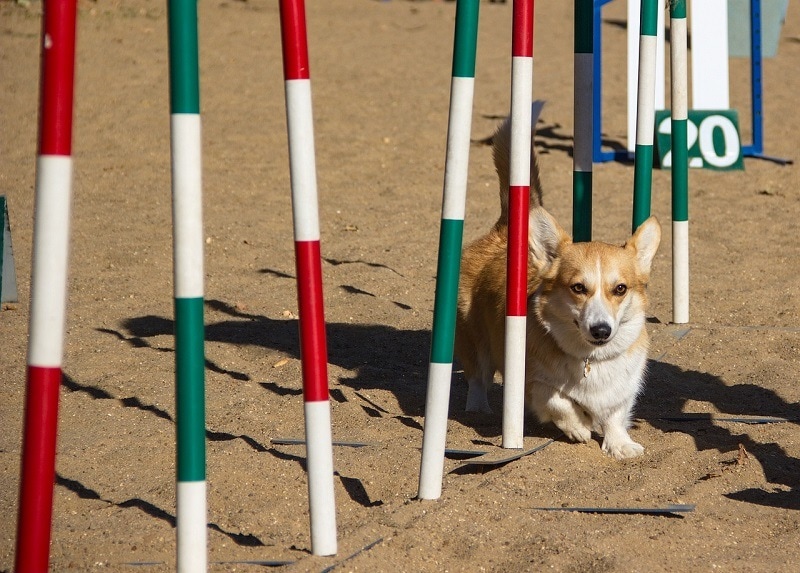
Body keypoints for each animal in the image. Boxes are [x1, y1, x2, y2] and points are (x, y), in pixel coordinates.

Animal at [456, 116, 664, 460]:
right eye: (578, 287)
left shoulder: (623, 389)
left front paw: (620, 445)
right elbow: (558, 400)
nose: (601, 330)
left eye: (620, 289)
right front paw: (579, 425)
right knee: (477, 378)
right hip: (475, 340)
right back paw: (478, 409)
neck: (591, 359)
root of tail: (503, 231)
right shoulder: (532, 383)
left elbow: (616, 414)